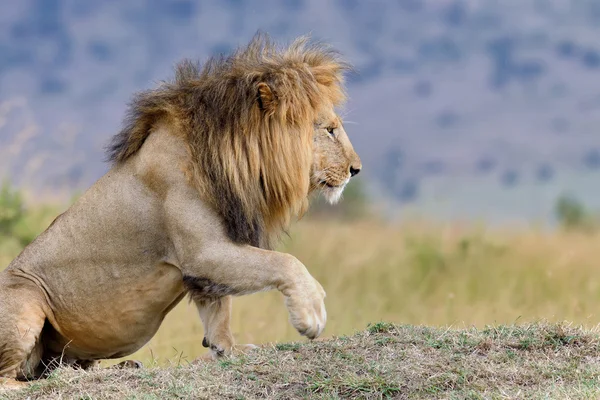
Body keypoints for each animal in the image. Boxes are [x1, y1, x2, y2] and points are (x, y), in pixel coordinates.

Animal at [0, 33, 360, 388]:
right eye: (330, 129)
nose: (356, 169)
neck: (230, 159)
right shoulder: (203, 252)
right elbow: (284, 262)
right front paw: (311, 312)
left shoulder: (206, 264)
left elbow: (218, 313)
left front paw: (227, 351)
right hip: (27, 299)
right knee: (11, 379)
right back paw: (58, 378)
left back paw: (114, 367)